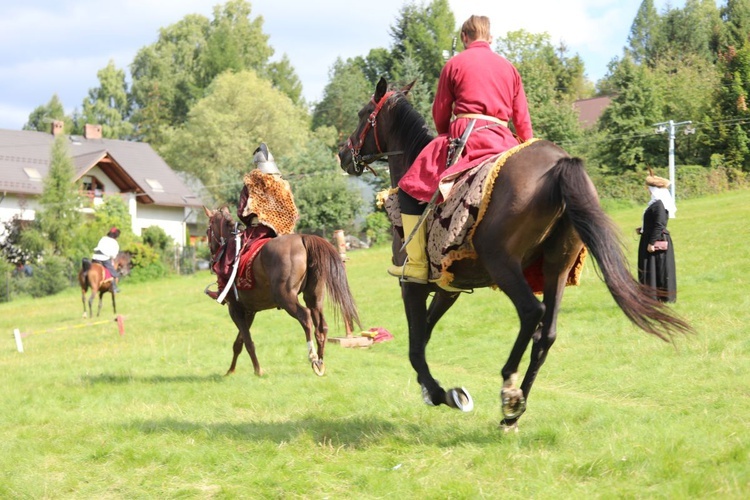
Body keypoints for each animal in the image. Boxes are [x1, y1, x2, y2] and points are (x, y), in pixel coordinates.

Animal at [203, 206, 362, 376]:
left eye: (208, 230)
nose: (211, 254)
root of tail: (303, 238)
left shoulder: (235, 309)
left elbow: (247, 341)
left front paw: (258, 370)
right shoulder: (249, 311)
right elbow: (239, 342)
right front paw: (231, 370)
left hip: (286, 297)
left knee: (305, 317)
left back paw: (312, 358)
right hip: (314, 297)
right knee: (321, 326)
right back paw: (320, 362)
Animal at [340, 78, 692, 430]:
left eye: (362, 114)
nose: (344, 153)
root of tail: (560, 164)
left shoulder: (411, 284)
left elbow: (416, 345)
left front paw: (442, 393)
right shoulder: (447, 289)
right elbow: (423, 334)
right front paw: (430, 389)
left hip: (503, 265)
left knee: (532, 312)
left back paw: (509, 387)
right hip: (556, 268)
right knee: (546, 332)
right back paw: (513, 411)